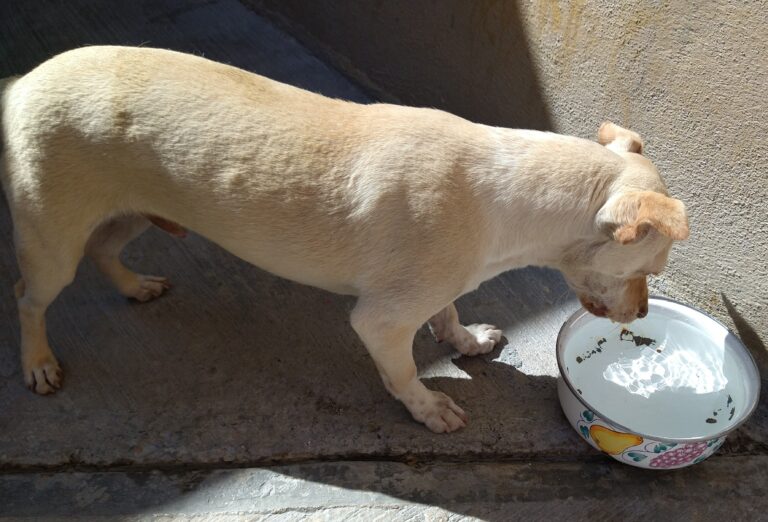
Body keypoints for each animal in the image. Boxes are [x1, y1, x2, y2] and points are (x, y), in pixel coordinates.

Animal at [0, 46, 688, 430]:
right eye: (648, 272)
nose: (642, 315)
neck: (511, 189)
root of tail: (20, 83)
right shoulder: (381, 321)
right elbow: (403, 370)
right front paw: (427, 407)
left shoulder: (439, 283)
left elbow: (448, 311)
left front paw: (465, 341)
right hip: (51, 238)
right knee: (30, 297)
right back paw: (37, 362)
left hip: (136, 208)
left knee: (103, 248)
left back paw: (134, 285)